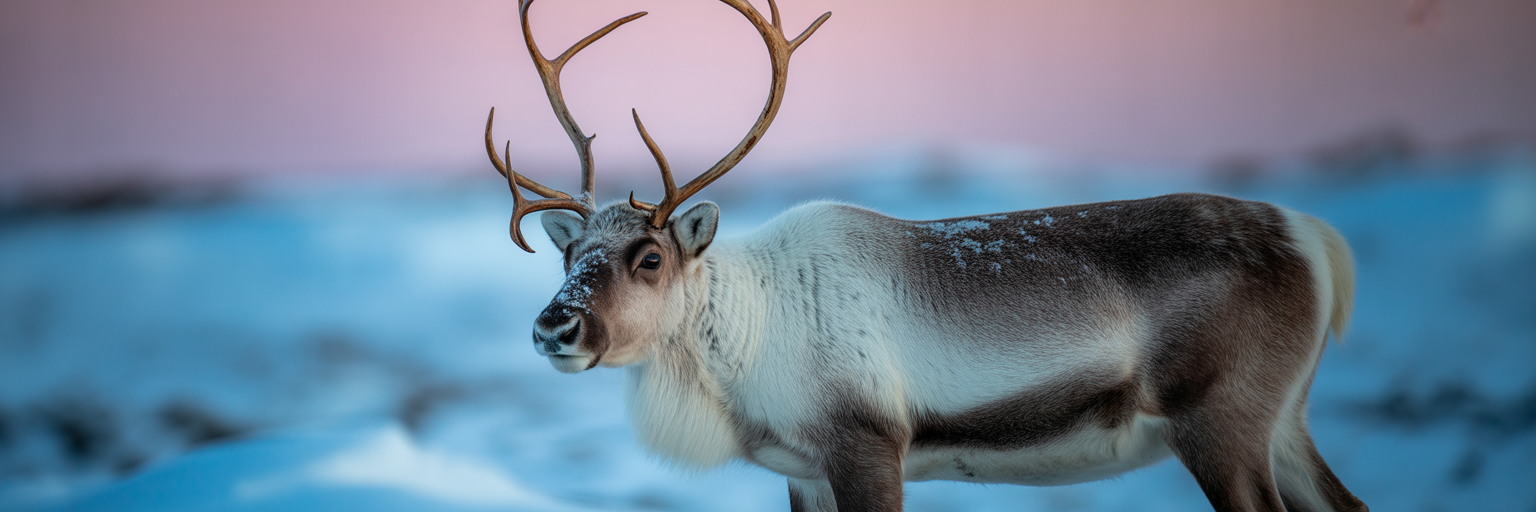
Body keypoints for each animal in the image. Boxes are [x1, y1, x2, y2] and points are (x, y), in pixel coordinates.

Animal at [480, 1, 1369, 510]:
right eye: (569, 255)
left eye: (650, 257)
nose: (555, 329)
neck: (748, 339)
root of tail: (1313, 237)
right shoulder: (805, 473)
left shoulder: (869, 448)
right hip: (1281, 422)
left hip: (1220, 421)